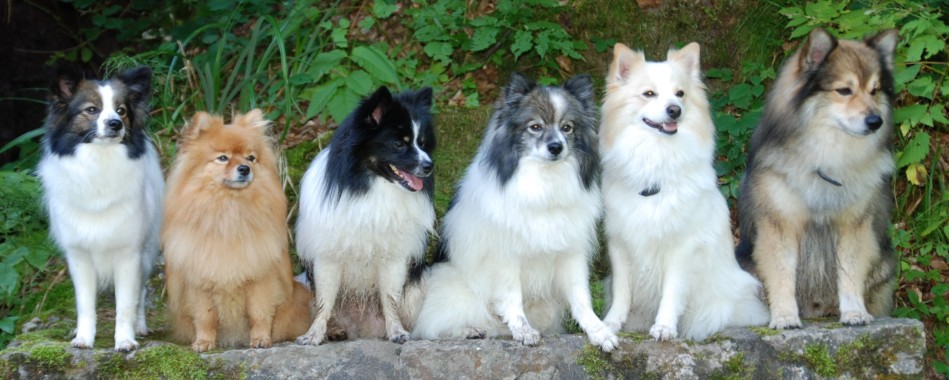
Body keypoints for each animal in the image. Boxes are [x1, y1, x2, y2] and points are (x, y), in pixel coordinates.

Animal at [37, 67, 162, 352]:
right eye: (92, 110)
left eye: (121, 111)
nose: (115, 124)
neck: (100, 161)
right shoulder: (79, 256)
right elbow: (85, 304)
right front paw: (84, 338)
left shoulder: (129, 255)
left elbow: (125, 304)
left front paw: (125, 340)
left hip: (147, 252)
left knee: (141, 292)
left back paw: (140, 326)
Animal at [162, 109, 312, 350]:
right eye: (223, 158)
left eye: (250, 158)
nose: (245, 168)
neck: (230, 210)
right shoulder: (200, 283)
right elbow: (205, 317)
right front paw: (204, 342)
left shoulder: (259, 278)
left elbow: (259, 313)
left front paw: (260, 339)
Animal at [294, 85, 436, 344]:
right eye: (399, 144)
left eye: (422, 143)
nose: (430, 166)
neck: (370, 185)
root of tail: (363, 329)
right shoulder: (327, 257)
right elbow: (324, 303)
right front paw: (314, 335)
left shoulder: (393, 259)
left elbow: (390, 300)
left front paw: (397, 332)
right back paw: (334, 330)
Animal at [412, 72, 620, 352]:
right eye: (535, 127)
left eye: (567, 128)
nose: (556, 147)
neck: (544, 183)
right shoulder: (506, 257)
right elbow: (512, 297)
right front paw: (523, 331)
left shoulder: (570, 254)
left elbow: (581, 297)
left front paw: (598, 331)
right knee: (434, 325)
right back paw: (468, 330)